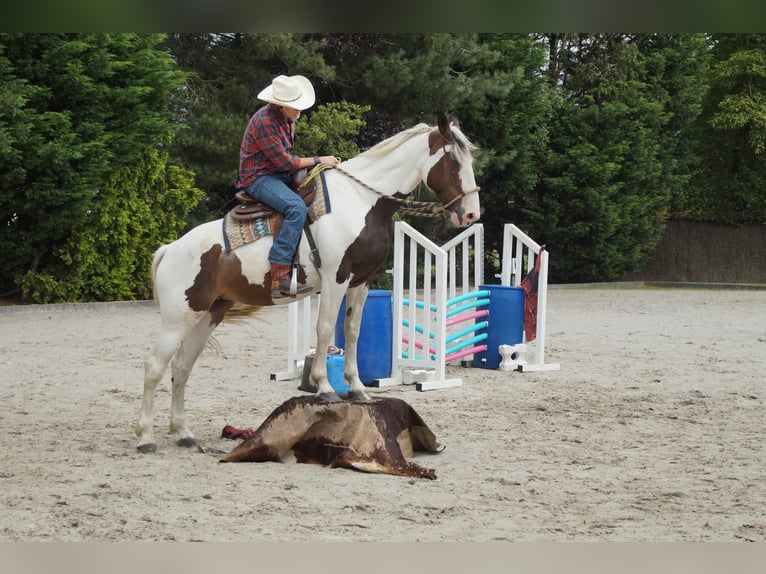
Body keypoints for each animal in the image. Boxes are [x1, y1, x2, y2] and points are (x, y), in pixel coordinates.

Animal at [135, 112, 481, 453]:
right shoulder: (335, 278)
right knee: (154, 367)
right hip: (177, 319)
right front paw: (325, 387)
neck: (360, 200)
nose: (470, 215)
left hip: (208, 314)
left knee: (181, 367)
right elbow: (325, 328)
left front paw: (357, 389)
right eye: (453, 161)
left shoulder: (362, 281)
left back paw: (183, 433)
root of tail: (170, 249)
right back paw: (146, 437)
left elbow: (352, 331)